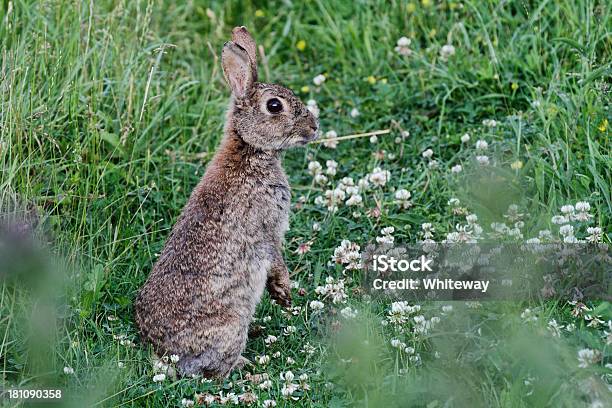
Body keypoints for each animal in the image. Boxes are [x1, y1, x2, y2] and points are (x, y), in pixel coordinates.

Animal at [132, 26, 318, 380]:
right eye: (275, 106)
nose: (314, 127)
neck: (248, 149)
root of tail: (165, 355)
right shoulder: (268, 229)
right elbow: (276, 260)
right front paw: (284, 293)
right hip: (231, 324)